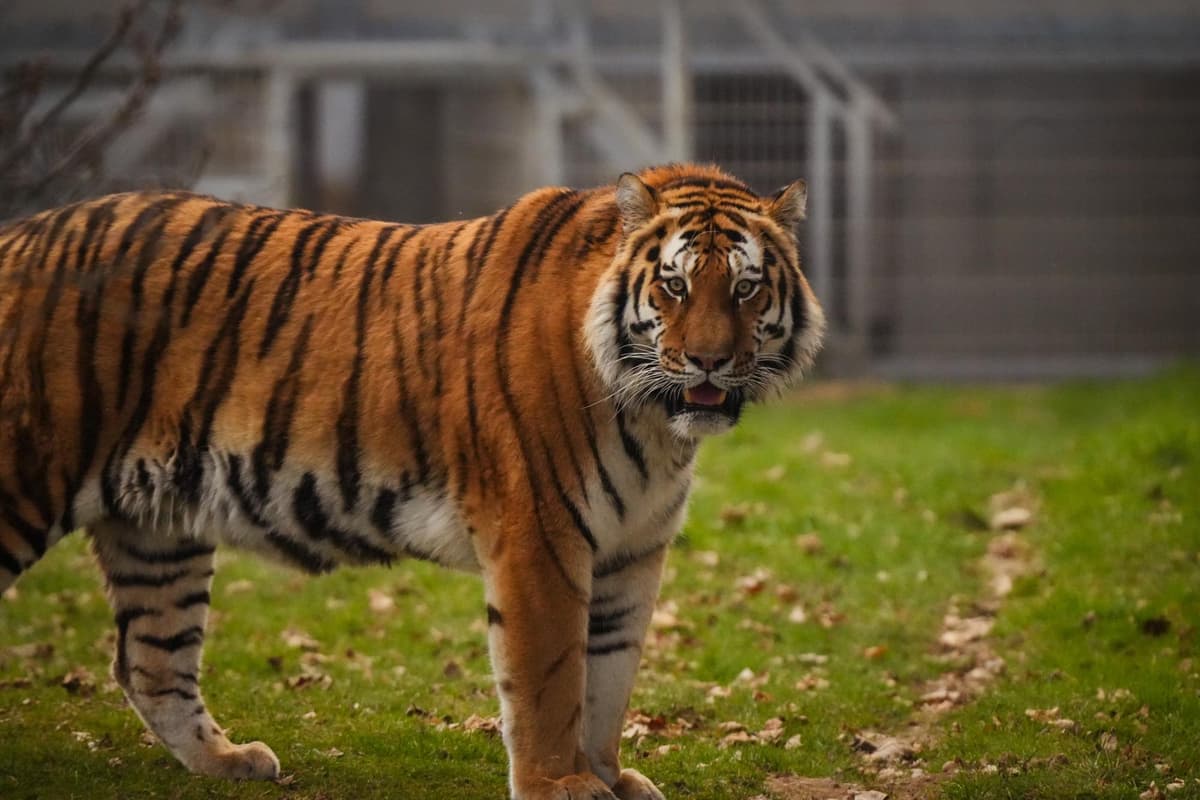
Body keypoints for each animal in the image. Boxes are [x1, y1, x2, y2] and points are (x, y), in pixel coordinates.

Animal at [0, 163, 824, 799]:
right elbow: (552, 678)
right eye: (676, 287)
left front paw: (606, 775)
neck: (654, 423)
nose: (710, 362)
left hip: (157, 530)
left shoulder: (632, 551)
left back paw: (228, 761)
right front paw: (558, 784)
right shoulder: (542, 537)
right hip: (25, 483)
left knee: (151, 661)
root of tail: (20, 233)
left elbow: (609, 676)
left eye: (746, 289)